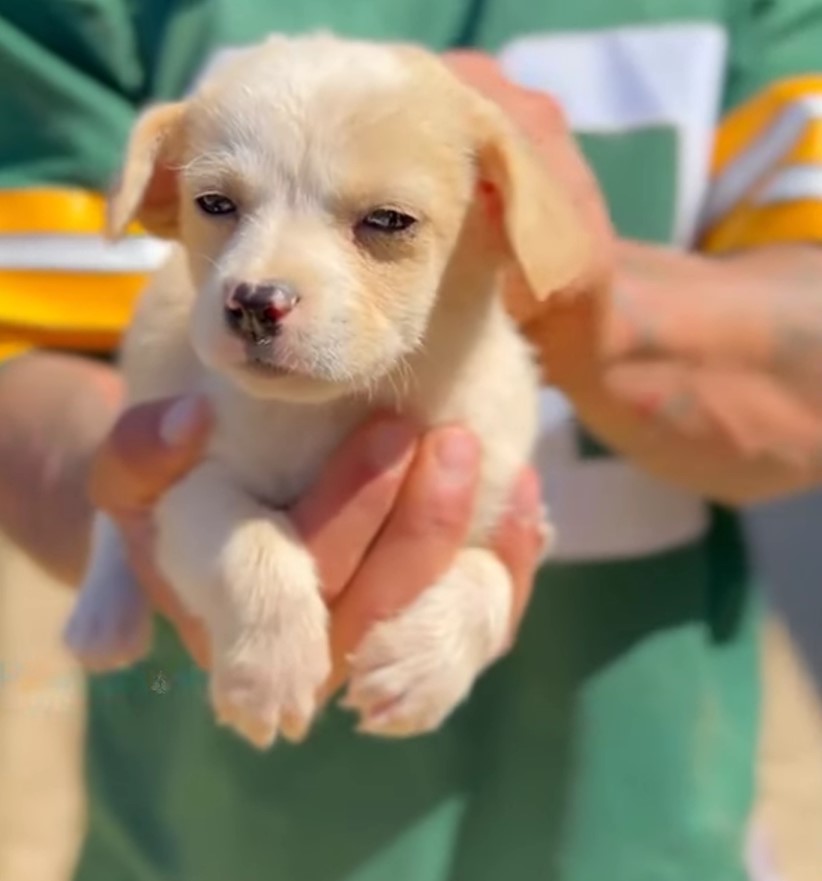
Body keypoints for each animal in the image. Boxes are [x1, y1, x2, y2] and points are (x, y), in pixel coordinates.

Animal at [66, 36, 592, 748]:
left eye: (388, 221)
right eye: (215, 204)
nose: (255, 303)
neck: (332, 412)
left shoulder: (507, 504)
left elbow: (491, 578)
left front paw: (423, 667)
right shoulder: (185, 484)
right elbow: (252, 542)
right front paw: (271, 670)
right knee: (109, 524)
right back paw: (102, 615)